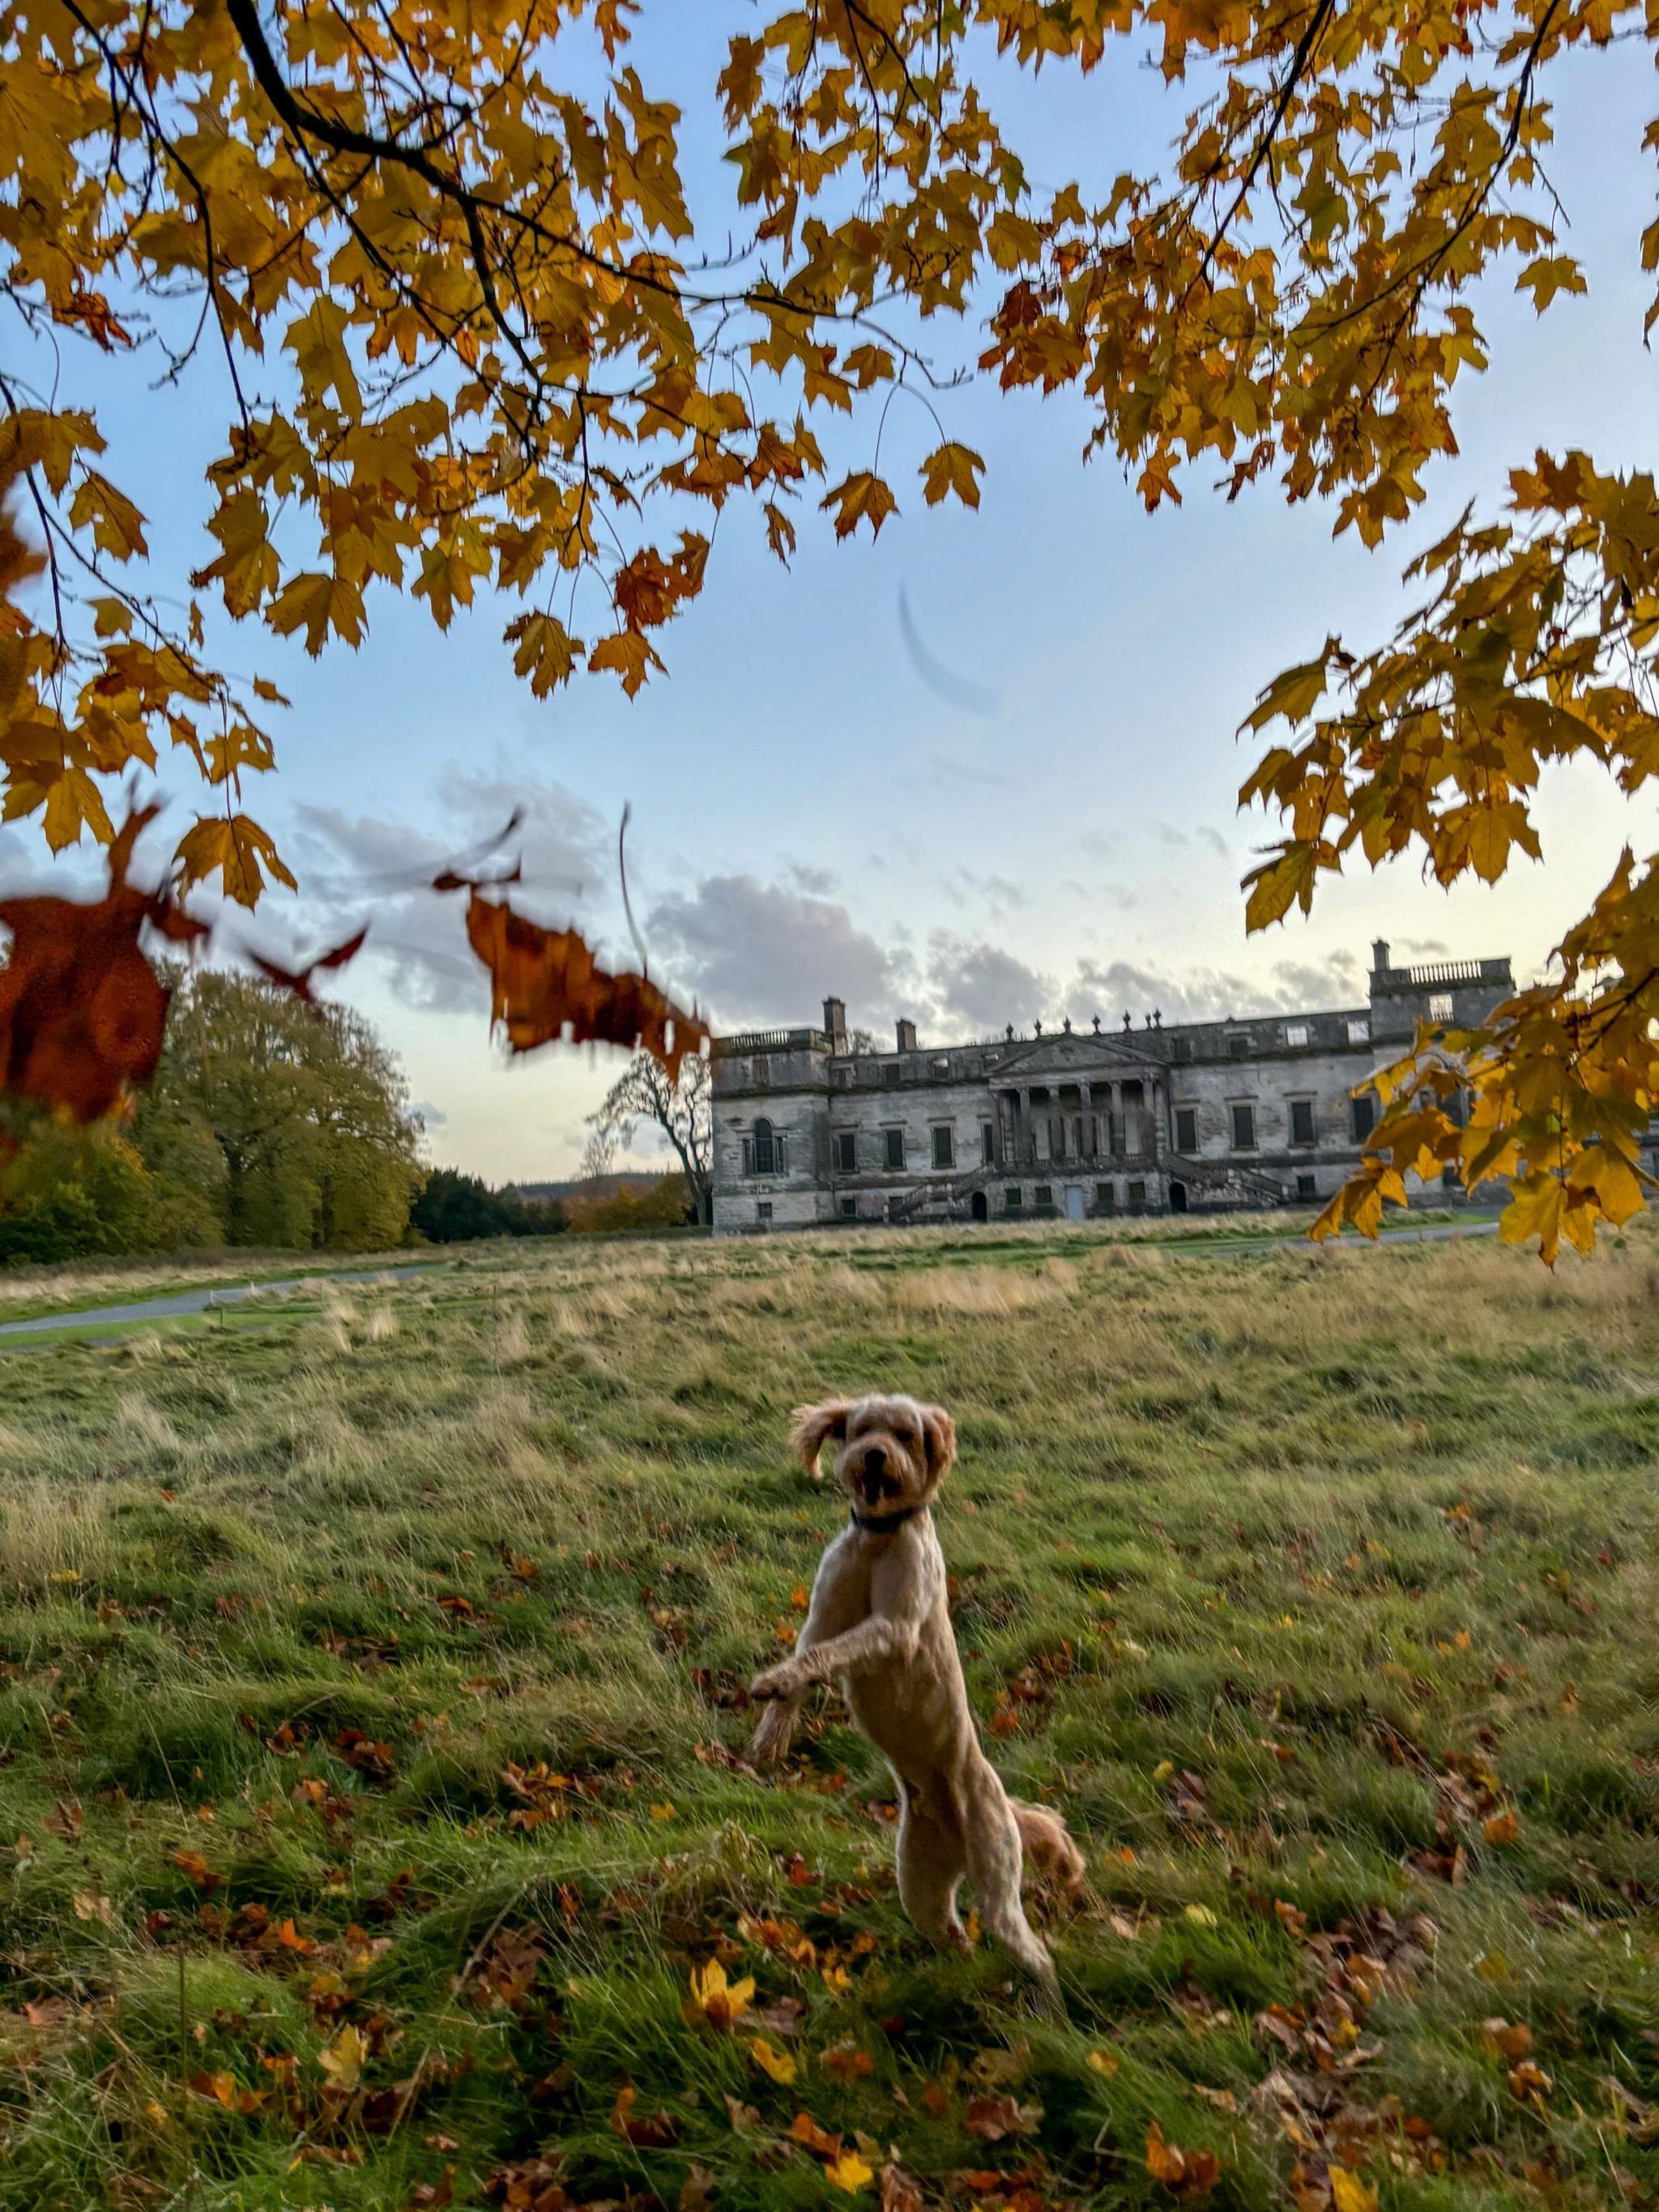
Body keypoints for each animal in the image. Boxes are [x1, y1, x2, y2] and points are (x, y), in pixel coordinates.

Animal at [752, 1398, 1092, 2026]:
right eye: (861, 1429)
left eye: (906, 1434)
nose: (875, 1456)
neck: (877, 1543)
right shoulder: (821, 1615)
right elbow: (806, 1661)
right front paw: (771, 1731)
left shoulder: (893, 1628)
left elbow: (827, 1654)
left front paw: (776, 1683)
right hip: (920, 1885)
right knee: (954, 1936)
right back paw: (956, 1986)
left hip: (996, 1880)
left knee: (1034, 1953)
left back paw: (1051, 2011)